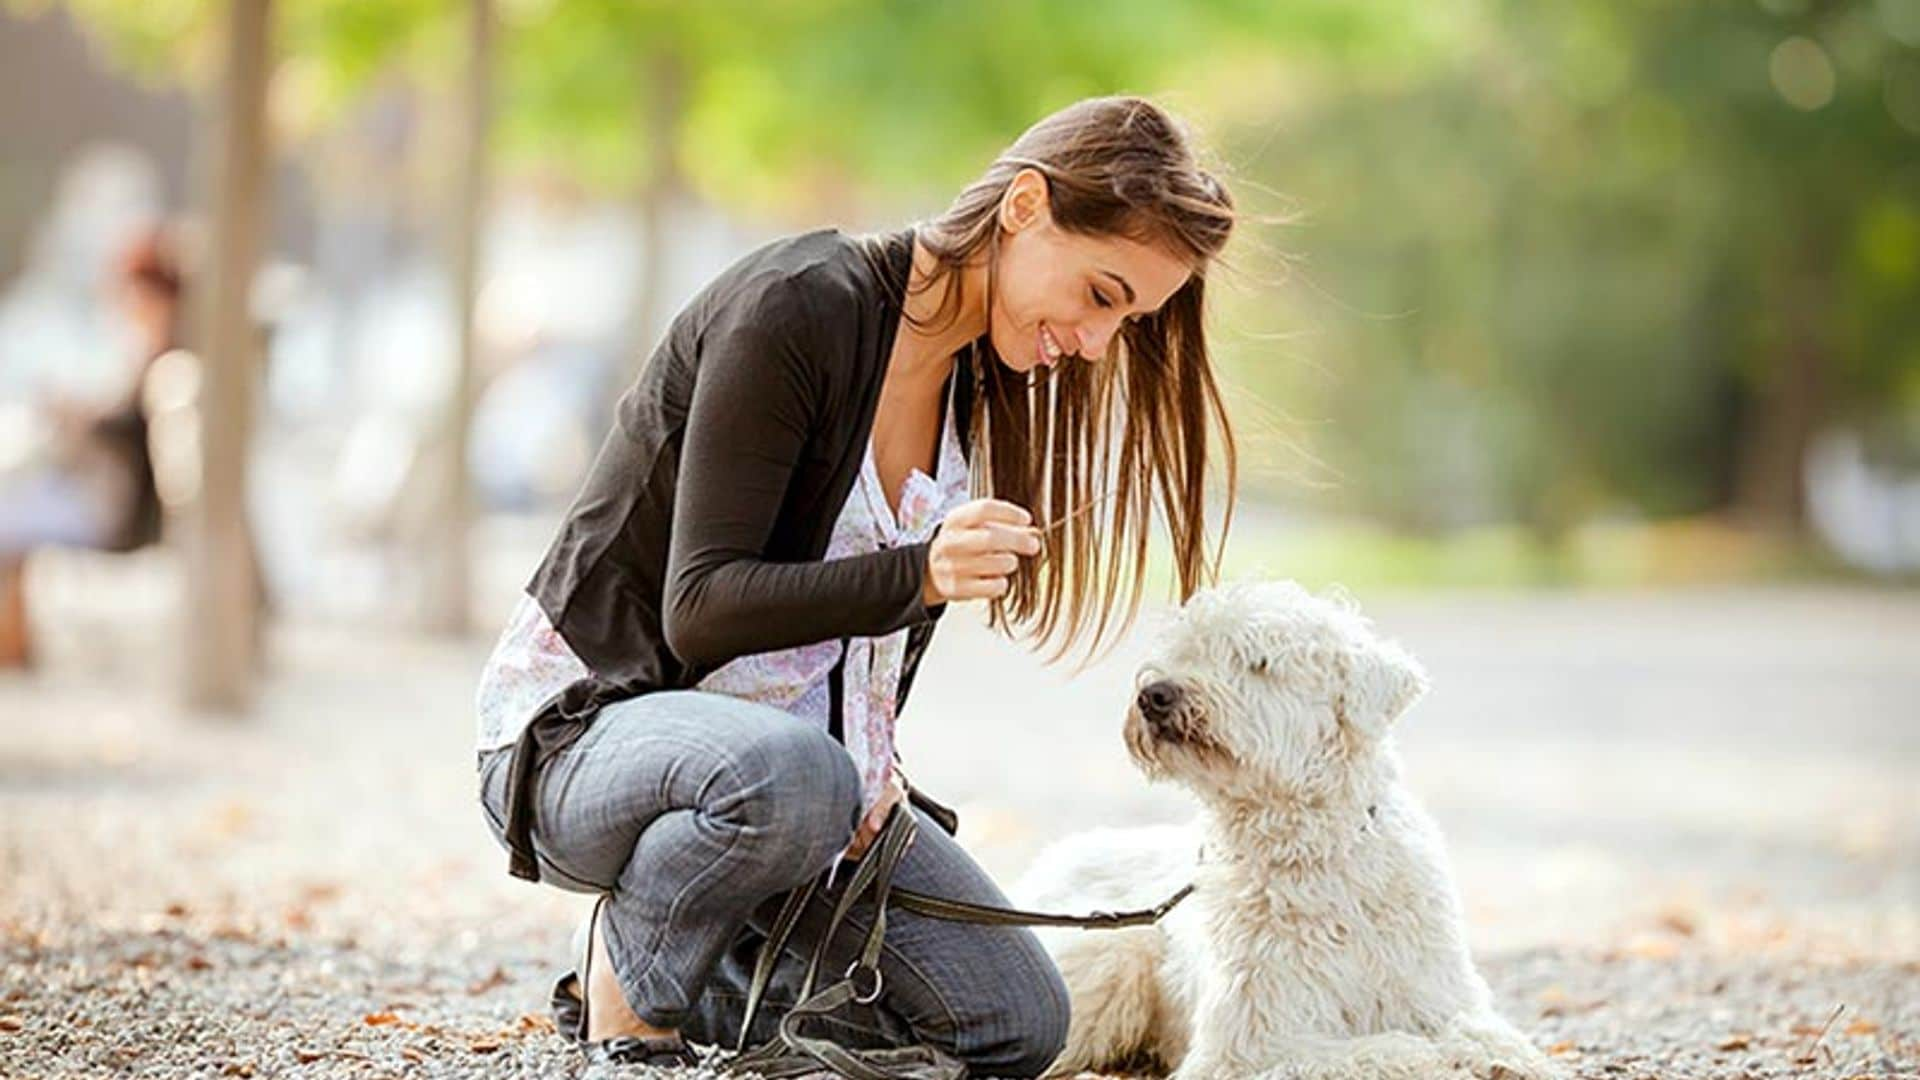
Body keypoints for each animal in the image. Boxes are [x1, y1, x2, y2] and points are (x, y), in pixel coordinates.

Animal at [1013, 580, 1566, 1076]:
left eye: (1257, 662)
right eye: (1185, 649)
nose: (1155, 694)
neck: (1312, 848)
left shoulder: (1435, 990)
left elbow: (1482, 1029)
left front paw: (1503, 1056)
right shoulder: (1253, 1043)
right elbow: (1376, 1052)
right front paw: (1431, 1056)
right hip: (1112, 954)